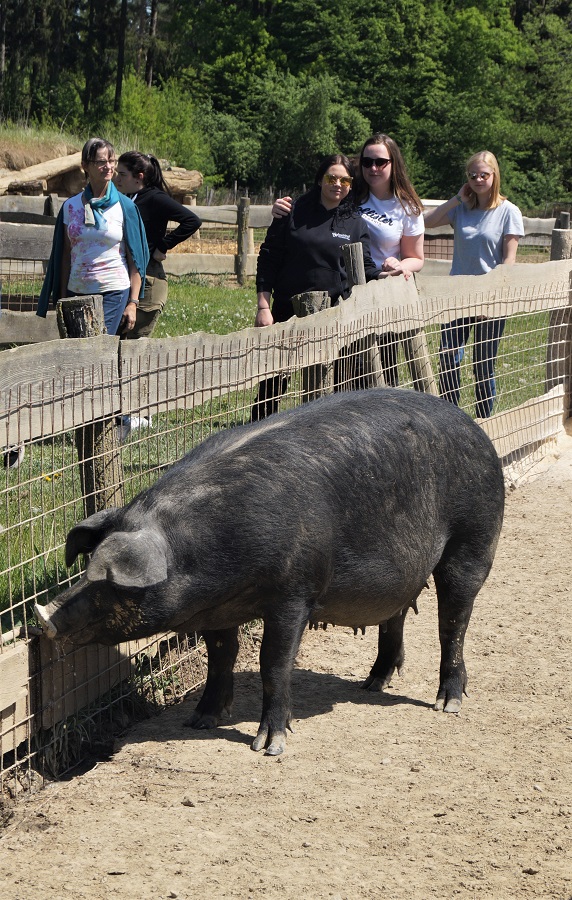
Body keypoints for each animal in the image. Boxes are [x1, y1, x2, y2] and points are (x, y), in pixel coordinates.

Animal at [35, 388, 504, 755]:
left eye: (108, 584)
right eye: (86, 572)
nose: (44, 618)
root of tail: (475, 427)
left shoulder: (295, 592)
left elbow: (272, 662)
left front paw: (268, 746)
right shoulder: (216, 609)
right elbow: (220, 656)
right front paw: (199, 721)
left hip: (474, 537)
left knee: (454, 621)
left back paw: (447, 703)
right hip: (403, 576)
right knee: (397, 616)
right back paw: (371, 684)